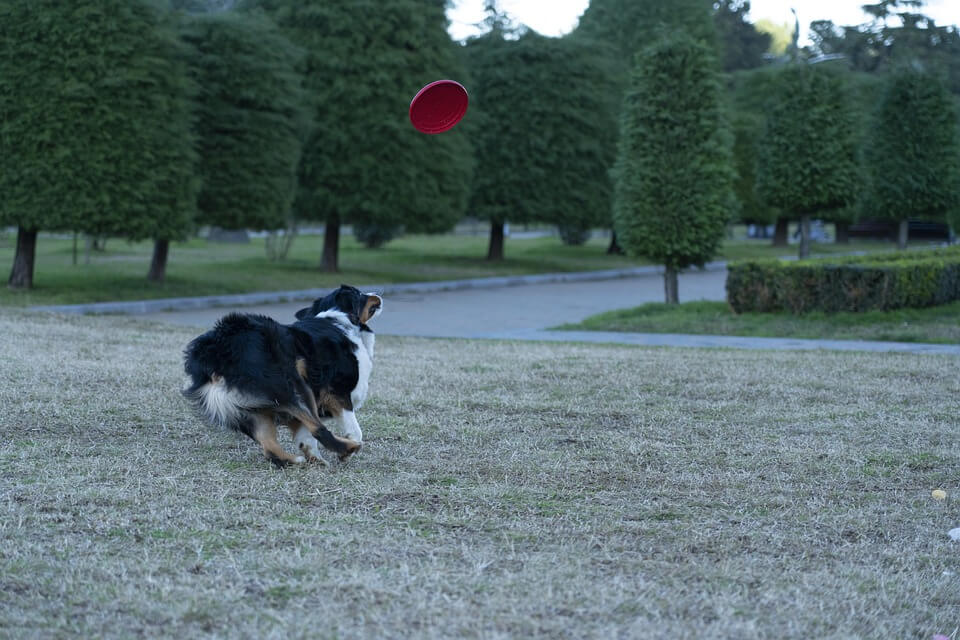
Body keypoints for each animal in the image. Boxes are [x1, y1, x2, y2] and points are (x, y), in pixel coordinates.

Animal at [184, 284, 382, 464]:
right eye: (358, 293)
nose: (378, 293)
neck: (339, 320)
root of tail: (215, 350)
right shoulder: (338, 392)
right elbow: (354, 430)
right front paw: (344, 453)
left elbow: (304, 436)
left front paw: (315, 459)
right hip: (290, 385)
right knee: (319, 429)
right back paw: (349, 448)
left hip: (249, 411)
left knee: (271, 450)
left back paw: (296, 460)